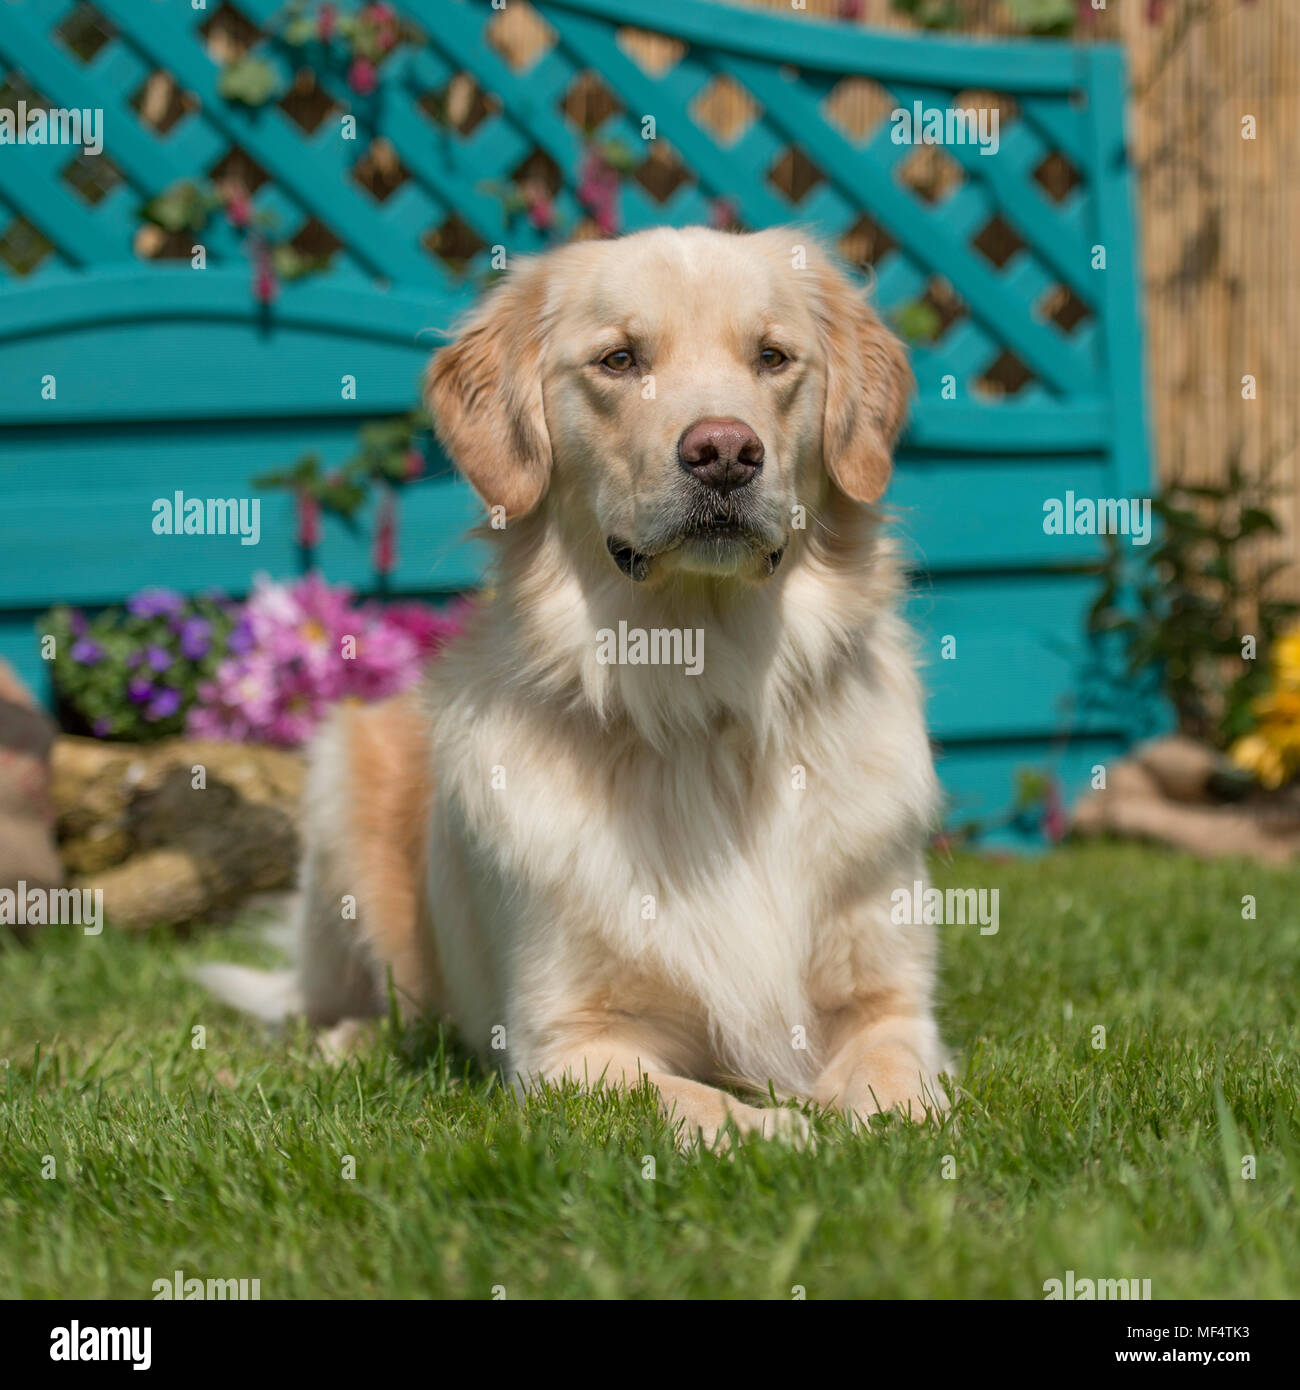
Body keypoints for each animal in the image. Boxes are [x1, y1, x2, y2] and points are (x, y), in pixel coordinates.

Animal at [205, 225, 956, 1139]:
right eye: (619, 360)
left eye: (773, 357)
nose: (725, 453)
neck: (702, 693)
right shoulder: (568, 1042)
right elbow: (699, 1103)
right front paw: (783, 1130)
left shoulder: (891, 1003)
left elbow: (900, 1088)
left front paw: (875, 1123)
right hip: (342, 778)